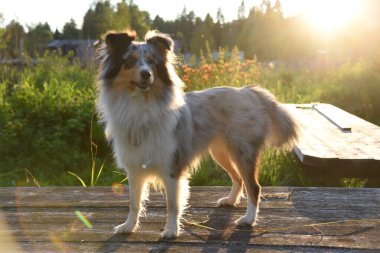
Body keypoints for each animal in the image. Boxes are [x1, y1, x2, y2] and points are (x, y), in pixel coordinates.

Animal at [96, 30, 298, 238]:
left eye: (152, 62)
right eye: (130, 61)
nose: (146, 74)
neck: (141, 105)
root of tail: (250, 91)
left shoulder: (172, 166)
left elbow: (172, 204)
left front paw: (171, 230)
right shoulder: (135, 167)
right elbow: (134, 202)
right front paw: (128, 226)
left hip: (243, 152)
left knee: (254, 186)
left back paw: (248, 219)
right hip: (221, 152)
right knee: (238, 178)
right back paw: (230, 200)